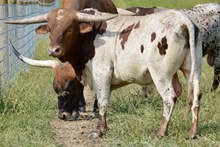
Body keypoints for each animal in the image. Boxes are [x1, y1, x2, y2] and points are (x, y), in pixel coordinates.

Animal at [8, 8, 203, 139]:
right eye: (49, 28)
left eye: (69, 28)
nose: (53, 50)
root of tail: (182, 19)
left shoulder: (102, 73)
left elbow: (102, 101)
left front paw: (99, 130)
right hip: (191, 70)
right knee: (195, 96)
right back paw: (193, 132)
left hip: (161, 74)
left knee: (170, 97)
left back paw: (161, 132)